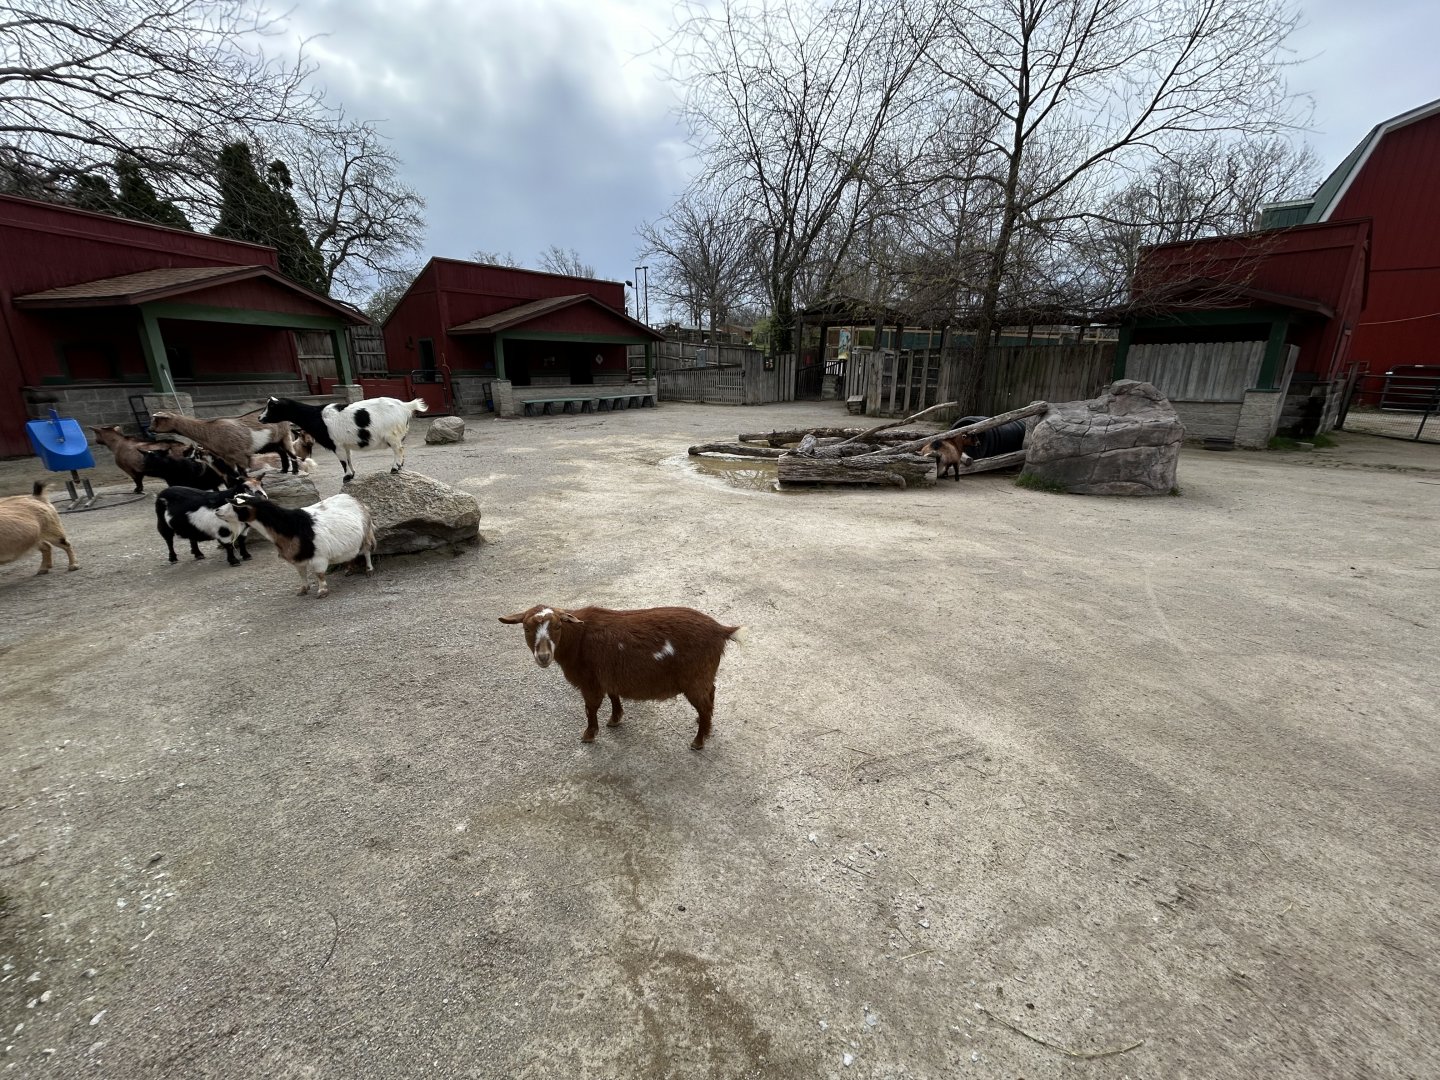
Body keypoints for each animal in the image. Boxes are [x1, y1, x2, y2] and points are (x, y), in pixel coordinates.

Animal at [219, 491, 375, 597]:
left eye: (235, 505)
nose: (217, 510)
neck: (290, 527)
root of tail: (355, 500)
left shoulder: (319, 557)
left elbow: (319, 574)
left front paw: (322, 591)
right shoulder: (297, 558)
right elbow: (301, 574)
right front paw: (303, 589)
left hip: (366, 534)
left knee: (366, 551)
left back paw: (369, 570)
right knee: (351, 554)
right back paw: (349, 569)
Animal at [258, 396, 428, 482]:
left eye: (272, 407)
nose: (260, 418)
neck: (317, 416)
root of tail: (406, 406)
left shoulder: (336, 444)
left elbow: (342, 461)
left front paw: (346, 477)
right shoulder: (344, 445)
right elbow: (349, 459)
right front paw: (352, 474)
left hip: (392, 434)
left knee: (398, 449)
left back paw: (395, 468)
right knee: (400, 449)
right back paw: (399, 467)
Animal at [498, 605, 744, 750]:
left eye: (558, 626)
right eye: (526, 628)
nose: (543, 657)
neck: (577, 639)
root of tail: (721, 630)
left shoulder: (590, 681)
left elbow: (590, 708)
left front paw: (589, 734)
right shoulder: (608, 675)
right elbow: (613, 695)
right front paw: (615, 719)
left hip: (695, 678)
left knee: (704, 704)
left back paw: (698, 740)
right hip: (704, 677)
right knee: (710, 695)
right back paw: (704, 725)